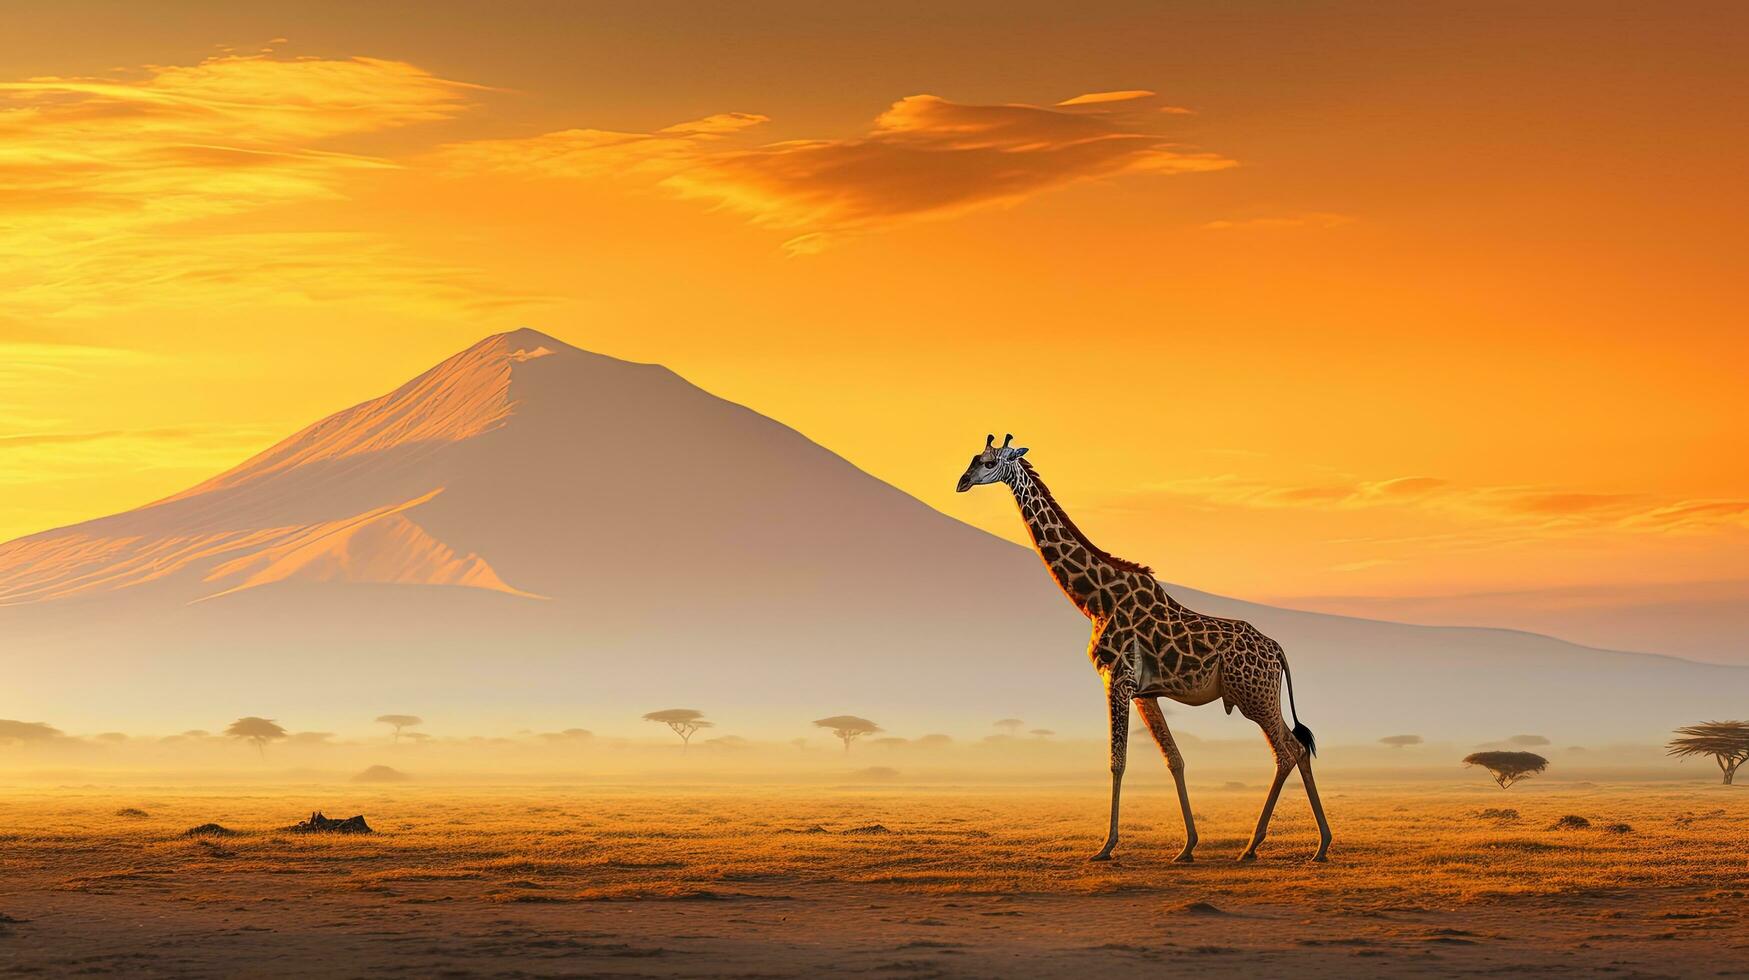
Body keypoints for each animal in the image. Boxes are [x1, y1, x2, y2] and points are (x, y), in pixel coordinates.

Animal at [958, 432, 1322, 861]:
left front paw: (1106, 846)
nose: (962, 482)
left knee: (1286, 752)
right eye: (973, 458)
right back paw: (1319, 846)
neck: (1095, 600)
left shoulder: (1116, 679)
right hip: (1261, 696)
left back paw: (1256, 846)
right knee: (1298, 748)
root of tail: (1278, 650)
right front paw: (1187, 846)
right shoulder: (1144, 692)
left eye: (989, 462)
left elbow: (1117, 761)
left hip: (1255, 697)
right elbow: (1174, 759)